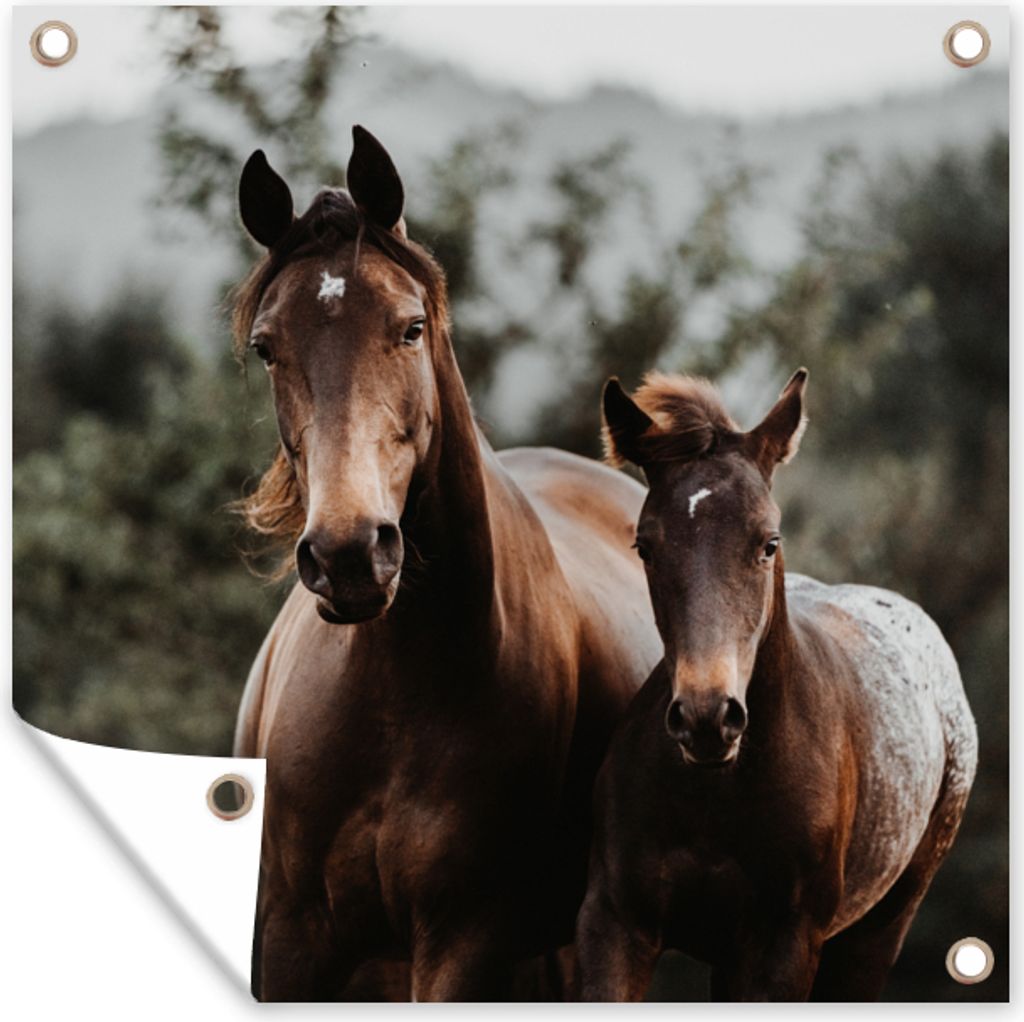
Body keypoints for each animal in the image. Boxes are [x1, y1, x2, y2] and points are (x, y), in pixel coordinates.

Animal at [230, 126, 662, 1001]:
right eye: (267, 347)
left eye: (409, 327)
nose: (349, 554)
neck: (395, 689)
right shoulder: (291, 940)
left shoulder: (463, 941)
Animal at [576, 368, 977, 1001]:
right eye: (645, 545)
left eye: (768, 542)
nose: (707, 718)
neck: (718, 792)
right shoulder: (615, 922)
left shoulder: (782, 947)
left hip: (875, 934)